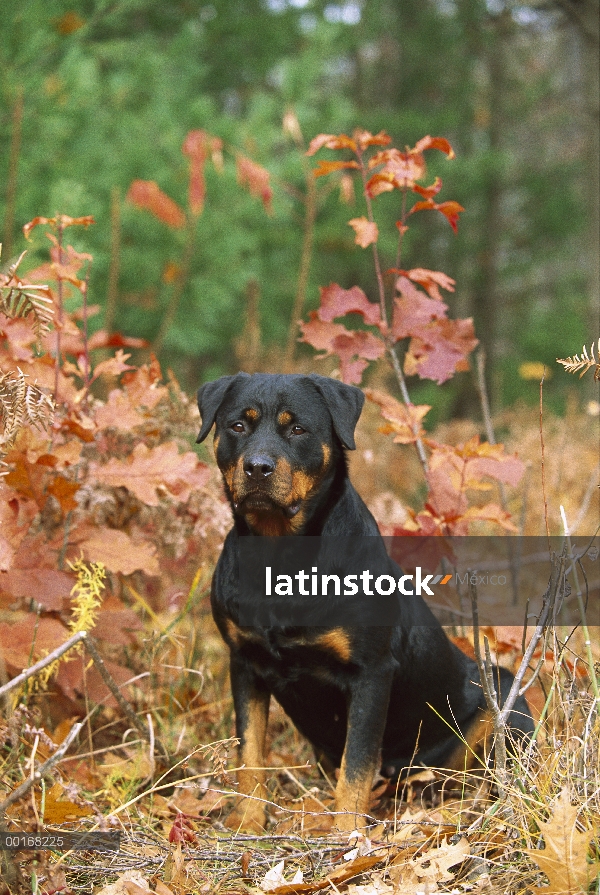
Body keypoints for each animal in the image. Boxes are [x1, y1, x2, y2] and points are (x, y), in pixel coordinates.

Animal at [198, 372, 536, 832]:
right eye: (237, 426)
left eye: (298, 429)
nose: (258, 467)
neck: (280, 554)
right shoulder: (244, 663)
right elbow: (249, 753)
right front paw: (248, 822)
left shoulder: (371, 673)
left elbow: (356, 765)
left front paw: (347, 836)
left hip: (505, 700)